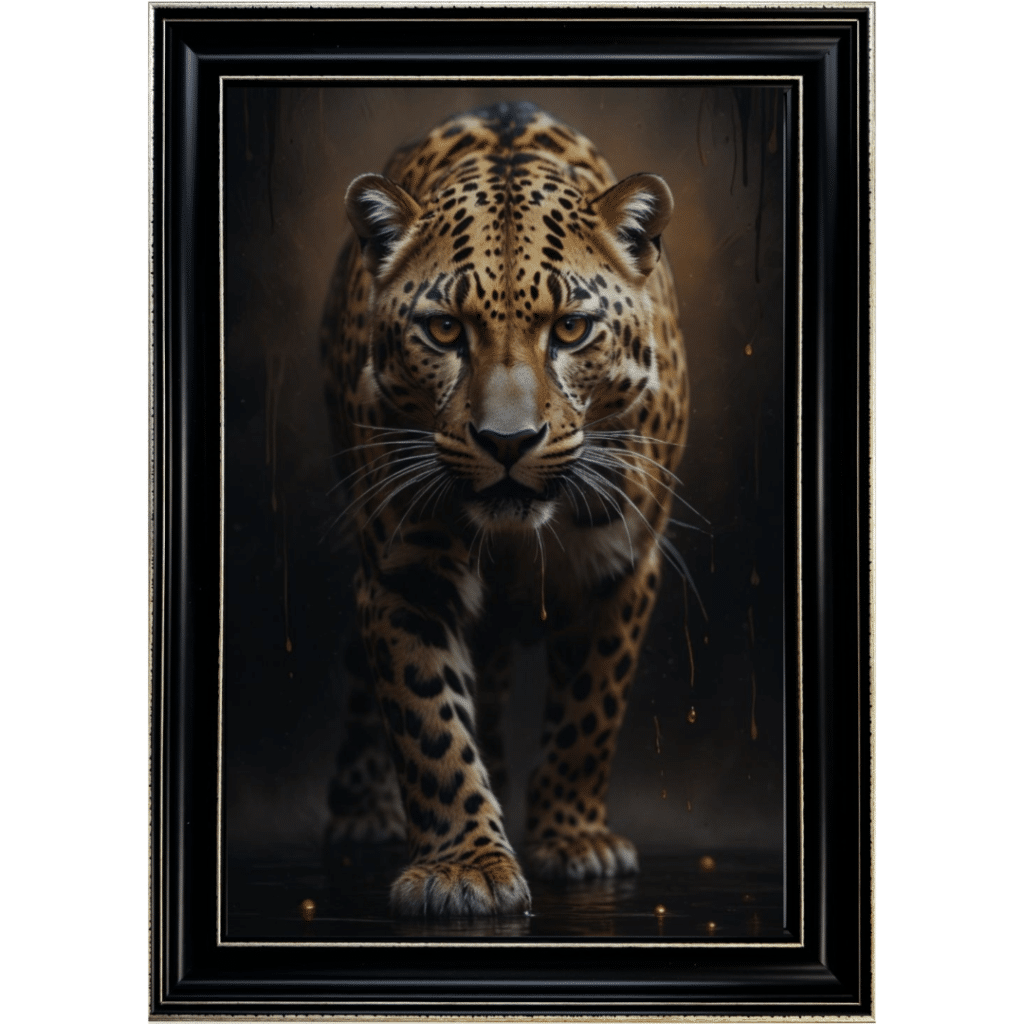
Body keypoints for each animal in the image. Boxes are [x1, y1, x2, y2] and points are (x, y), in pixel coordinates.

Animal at [319, 101, 690, 917]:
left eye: (572, 328)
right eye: (444, 330)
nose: (508, 442)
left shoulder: (625, 563)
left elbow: (590, 709)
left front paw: (575, 841)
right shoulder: (404, 571)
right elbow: (427, 723)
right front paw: (464, 866)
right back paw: (362, 811)